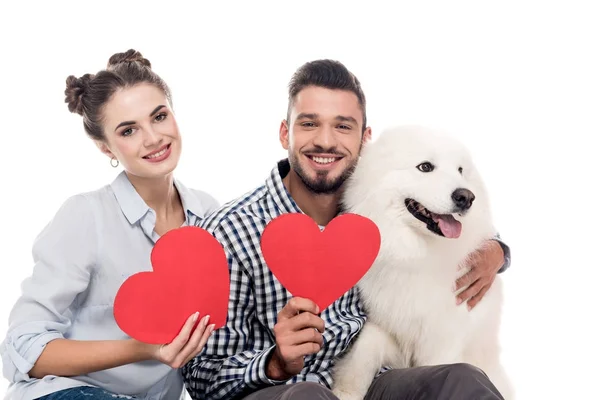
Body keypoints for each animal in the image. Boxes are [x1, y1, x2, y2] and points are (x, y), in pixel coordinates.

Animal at [330, 126, 512, 400]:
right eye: (425, 167)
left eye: (460, 170)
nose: (467, 197)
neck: (416, 253)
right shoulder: (386, 325)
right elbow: (363, 351)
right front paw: (345, 391)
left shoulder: (442, 340)